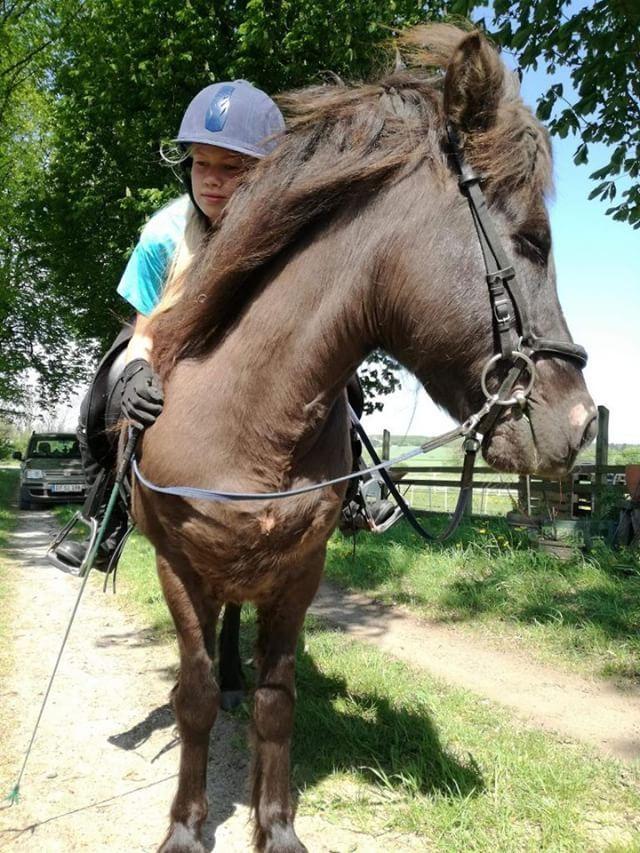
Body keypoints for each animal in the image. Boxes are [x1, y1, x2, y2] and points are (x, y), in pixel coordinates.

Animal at [132, 25, 596, 852]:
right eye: (535, 241)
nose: (580, 423)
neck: (248, 423)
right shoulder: (177, 569)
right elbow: (190, 694)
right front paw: (186, 826)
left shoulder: (298, 575)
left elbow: (277, 701)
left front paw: (277, 825)